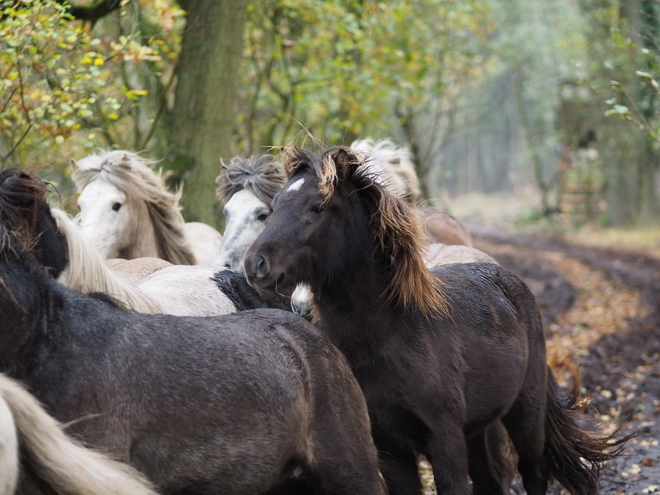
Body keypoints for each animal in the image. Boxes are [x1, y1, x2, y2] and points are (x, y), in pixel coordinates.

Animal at [245, 146, 628, 495]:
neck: (393, 334)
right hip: (477, 429)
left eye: (318, 207)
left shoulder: (444, 441)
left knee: (533, 472)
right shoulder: (391, 448)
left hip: (525, 414)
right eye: (273, 206)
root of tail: (511, 282)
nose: (256, 264)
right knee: (491, 482)